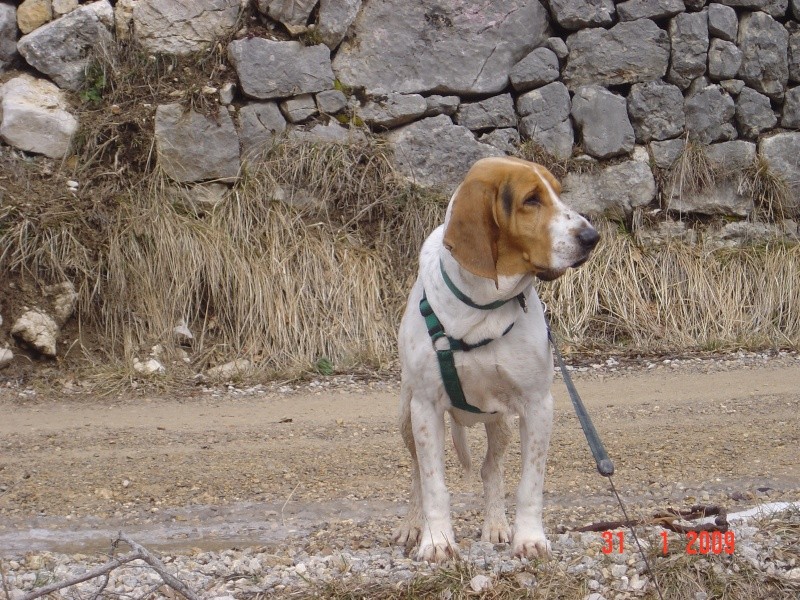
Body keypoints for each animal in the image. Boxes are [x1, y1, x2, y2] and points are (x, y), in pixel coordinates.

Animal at [394, 156, 600, 564]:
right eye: (531, 200)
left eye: (558, 192)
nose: (592, 237)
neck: (482, 308)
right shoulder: (425, 407)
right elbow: (433, 484)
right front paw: (436, 541)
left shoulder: (537, 405)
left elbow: (530, 484)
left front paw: (529, 537)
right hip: (407, 416)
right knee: (416, 475)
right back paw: (413, 526)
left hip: (500, 422)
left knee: (491, 469)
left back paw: (496, 525)